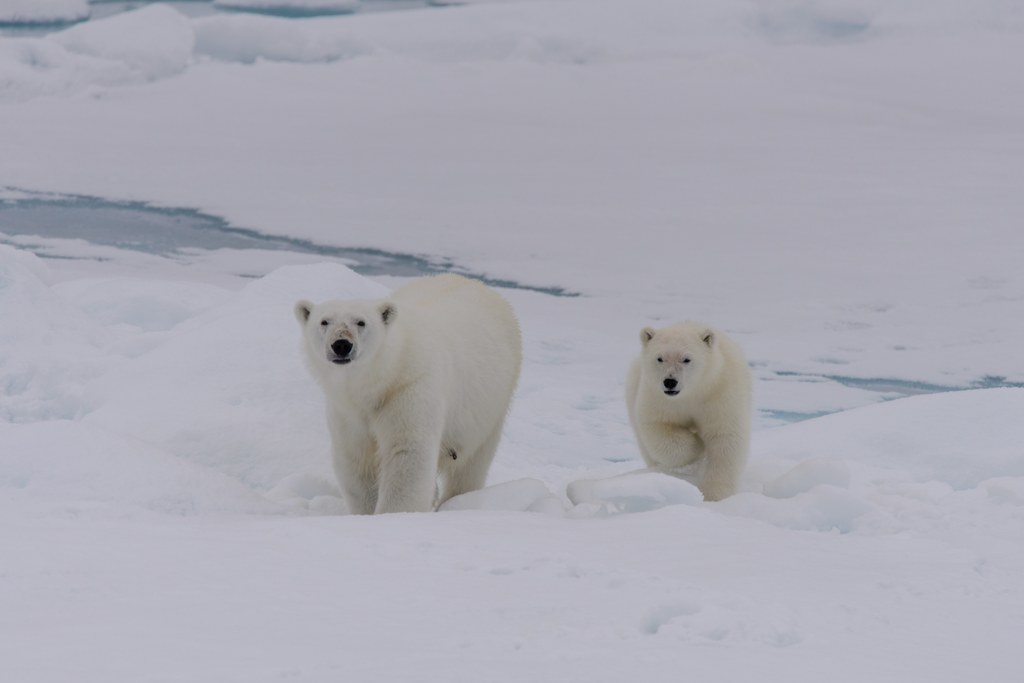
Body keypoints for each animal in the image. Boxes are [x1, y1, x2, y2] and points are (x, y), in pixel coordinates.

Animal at [294, 274, 520, 516]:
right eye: (324, 321)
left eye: (361, 322)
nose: (342, 344)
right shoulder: (346, 411)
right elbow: (356, 459)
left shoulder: (409, 391)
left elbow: (407, 453)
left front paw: (393, 514)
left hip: (491, 403)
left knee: (472, 464)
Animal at [622, 321, 753, 501]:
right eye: (659, 358)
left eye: (686, 359)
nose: (670, 382)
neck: (693, 392)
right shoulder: (658, 398)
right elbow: (658, 428)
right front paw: (698, 445)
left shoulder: (720, 393)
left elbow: (725, 438)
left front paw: (714, 495)